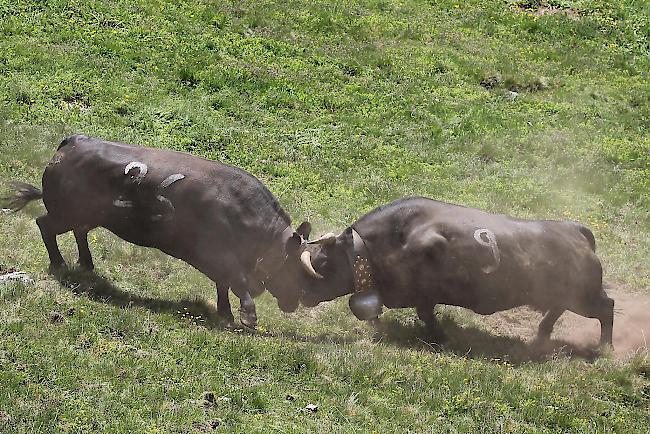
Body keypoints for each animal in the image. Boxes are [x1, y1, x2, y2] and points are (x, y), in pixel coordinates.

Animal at [1, 134, 314, 328]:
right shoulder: (218, 254)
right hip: (65, 213)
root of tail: (73, 141)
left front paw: (224, 313)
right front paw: (248, 317)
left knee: (79, 233)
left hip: (87, 216)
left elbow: (222, 284)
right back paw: (59, 263)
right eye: (295, 267)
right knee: (45, 225)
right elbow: (235, 281)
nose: (299, 300)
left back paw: (87, 265)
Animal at [298, 198, 612, 346]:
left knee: (607, 307)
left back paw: (604, 348)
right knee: (558, 310)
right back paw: (542, 334)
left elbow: (426, 315)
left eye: (322, 263)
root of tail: (576, 230)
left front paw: (441, 337)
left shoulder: (425, 293)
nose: (301, 293)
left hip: (585, 297)